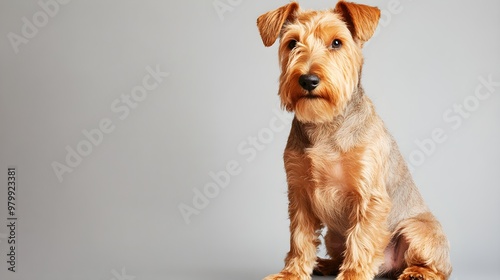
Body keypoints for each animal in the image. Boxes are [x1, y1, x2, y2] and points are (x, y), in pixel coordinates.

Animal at [258, 1, 454, 278]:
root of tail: (389, 267)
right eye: (292, 43)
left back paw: (417, 271)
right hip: (333, 236)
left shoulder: (368, 195)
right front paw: (291, 273)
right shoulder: (299, 194)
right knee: (337, 251)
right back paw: (324, 264)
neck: (326, 125)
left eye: (336, 42)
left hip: (418, 230)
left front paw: (353, 274)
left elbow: (361, 240)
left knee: (438, 267)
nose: (308, 80)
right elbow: (300, 238)